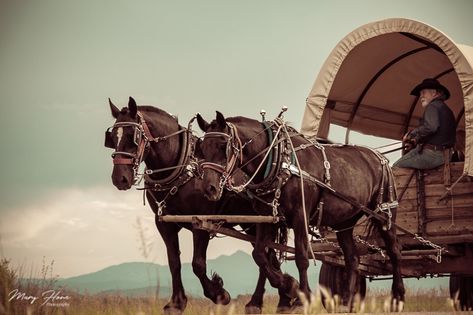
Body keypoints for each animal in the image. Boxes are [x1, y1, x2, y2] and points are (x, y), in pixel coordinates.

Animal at [104, 97, 286, 314]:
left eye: (133, 135)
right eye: (112, 137)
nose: (119, 178)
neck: (181, 168)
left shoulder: (201, 222)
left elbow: (198, 264)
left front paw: (218, 294)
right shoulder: (164, 223)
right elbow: (174, 262)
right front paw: (176, 303)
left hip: (258, 222)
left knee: (265, 256)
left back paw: (260, 300)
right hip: (252, 224)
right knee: (269, 257)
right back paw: (283, 296)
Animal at [197, 112, 404, 312]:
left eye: (223, 145)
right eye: (202, 148)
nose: (209, 188)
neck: (278, 160)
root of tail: (379, 157)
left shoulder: (300, 216)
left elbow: (301, 257)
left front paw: (300, 297)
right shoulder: (266, 219)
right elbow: (260, 255)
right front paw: (271, 293)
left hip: (384, 213)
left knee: (394, 251)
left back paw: (398, 297)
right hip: (345, 221)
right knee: (352, 259)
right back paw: (346, 302)